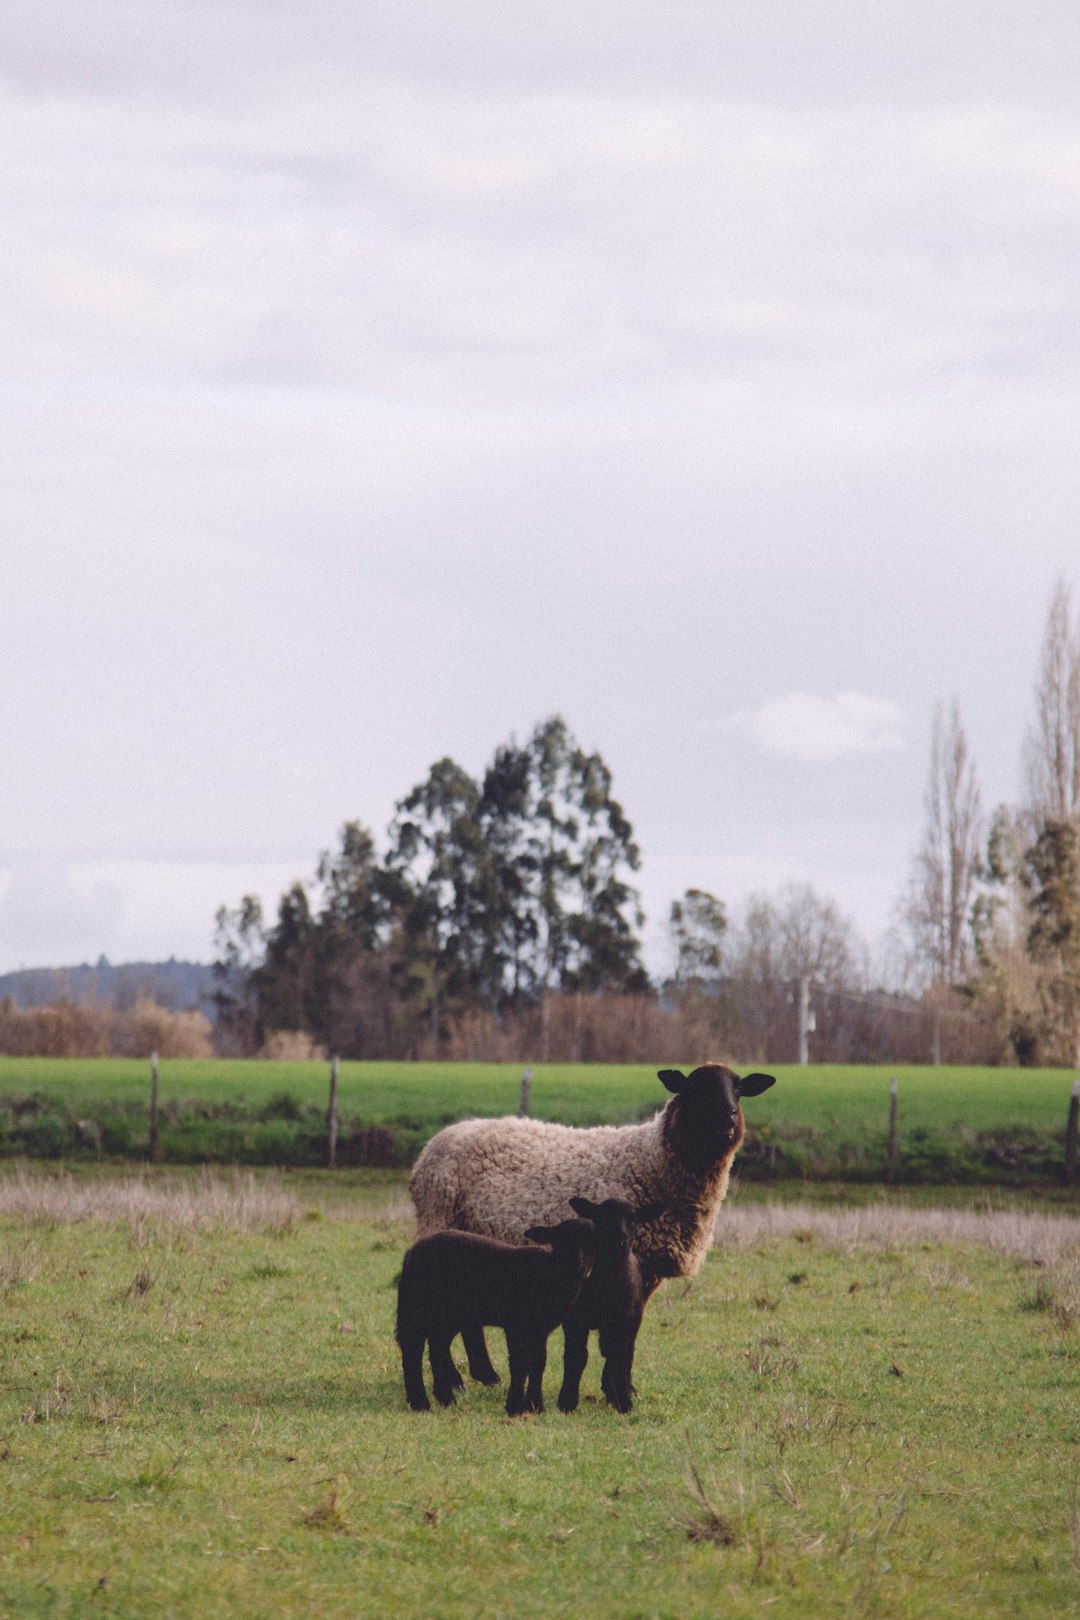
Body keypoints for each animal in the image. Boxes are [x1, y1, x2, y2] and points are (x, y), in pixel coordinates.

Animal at [399, 1218, 599, 1412]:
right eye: (562, 1241)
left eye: (592, 1243)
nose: (579, 1266)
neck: (549, 1273)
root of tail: (411, 1251)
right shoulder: (516, 1325)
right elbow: (520, 1363)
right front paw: (515, 1406)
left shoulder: (540, 1330)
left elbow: (538, 1363)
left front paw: (536, 1406)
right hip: (419, 1307)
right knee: (412, 1349)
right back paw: (420, 1403)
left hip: (447, 1316)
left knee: (437, 1349)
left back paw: (446, 1399)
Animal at [409, 1062, 773, 1380]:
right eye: (694, 1088)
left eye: (739, 1088)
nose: (727, 1116)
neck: (650, 1161)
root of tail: (432, 1146)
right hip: (440, 1224)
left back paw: (485, 1375)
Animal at [557, 1198, 660, 1412]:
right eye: (602, 1217)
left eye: (634, 1220)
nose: (620, 1241)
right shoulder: (575, 1320)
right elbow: (576, 1356)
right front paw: (567, 1401)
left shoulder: (622, 1321)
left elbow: (618, 1357)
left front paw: (623, 1402)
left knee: (626, 1353)